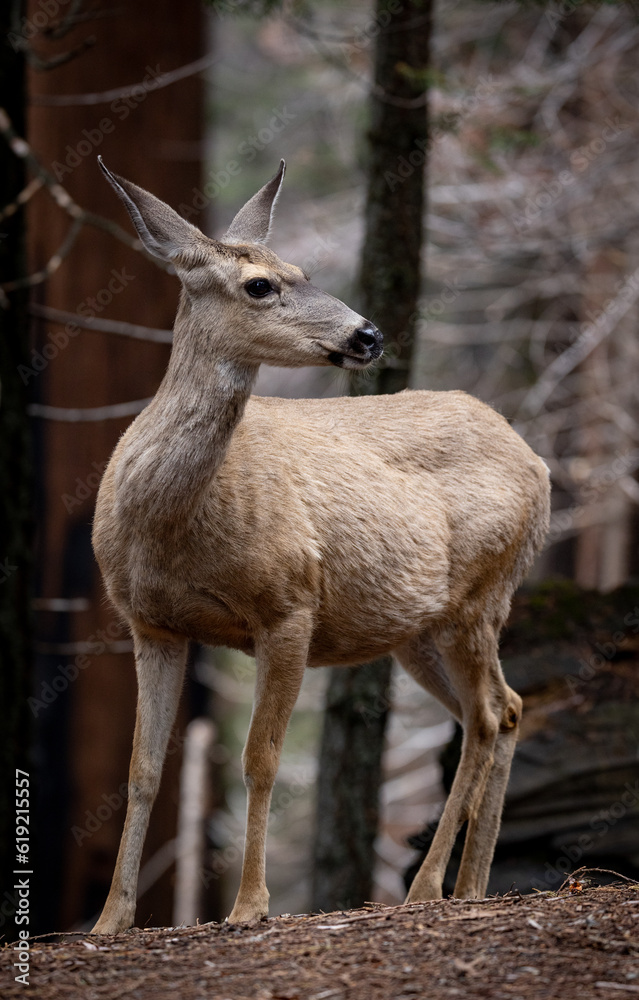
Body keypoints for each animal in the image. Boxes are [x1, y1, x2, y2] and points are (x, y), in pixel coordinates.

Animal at [89, 156, 552, 936]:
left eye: (302, 269)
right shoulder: (149, 624)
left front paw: (249, 906)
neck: (169, 524)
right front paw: (108, 921)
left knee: (487, 717)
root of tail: (538, 462)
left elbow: (261, 757)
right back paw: (472, 887)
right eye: (260, 284)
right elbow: (142, 770)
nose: (368, 334)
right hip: (419, 629)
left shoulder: (289, 605)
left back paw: (426, 890)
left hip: (480, 594)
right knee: (504, 706)